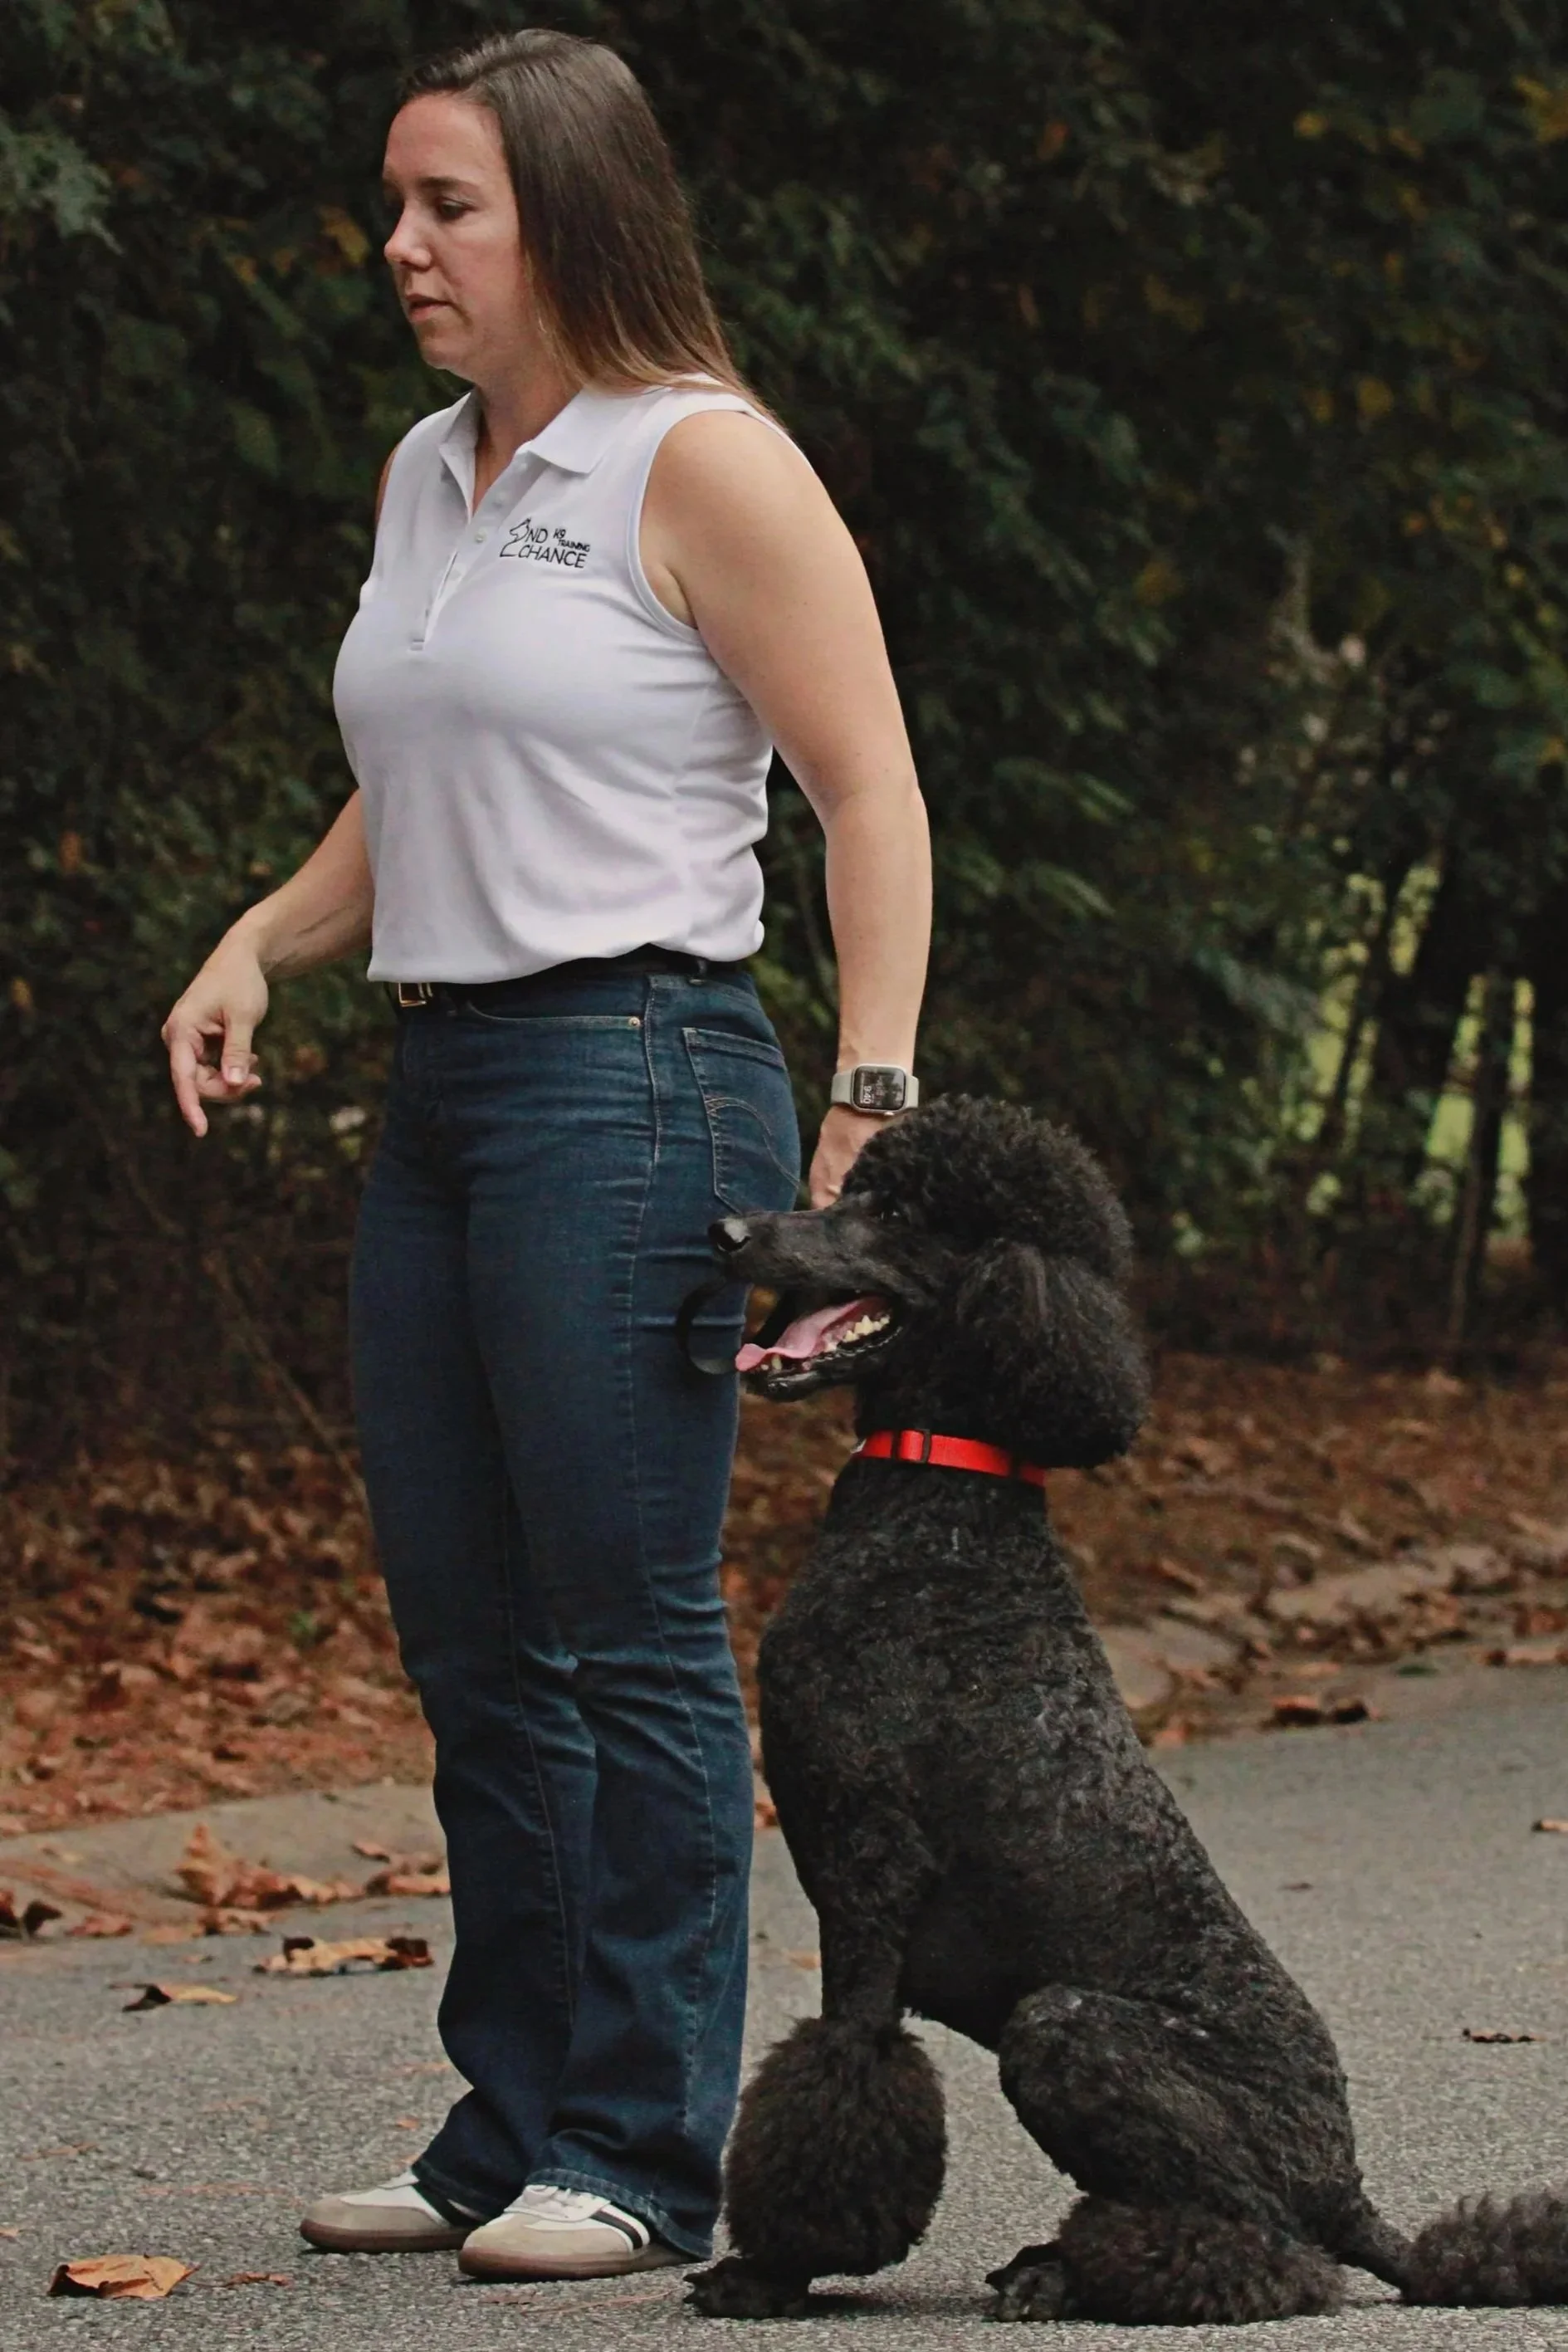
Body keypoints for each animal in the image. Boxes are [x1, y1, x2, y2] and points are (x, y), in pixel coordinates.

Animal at [686, 1095, 1568, 2323]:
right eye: (852, 1188)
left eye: (897, 1213)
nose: (727, 1230)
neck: (941, 1518)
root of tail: (1343, 2183)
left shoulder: (868, 1878)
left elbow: (842, 2069)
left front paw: (769, 2269)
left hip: (1067, 2028)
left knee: (1270, 2249)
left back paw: (1082, 2272)